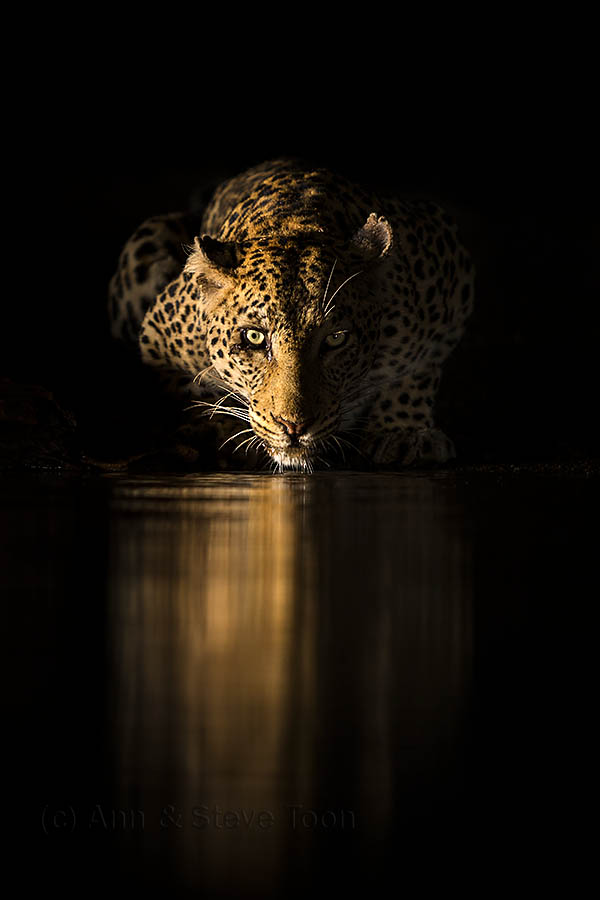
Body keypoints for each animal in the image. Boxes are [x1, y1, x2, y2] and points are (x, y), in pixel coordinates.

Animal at [108, 158, 474, 471]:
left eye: (336, 339)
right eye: (254, 337)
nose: (294, 426)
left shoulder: (448, 263)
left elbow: (420, 367)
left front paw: (403, 432)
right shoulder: (157, 338)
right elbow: (190, 388)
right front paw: (219, 430)